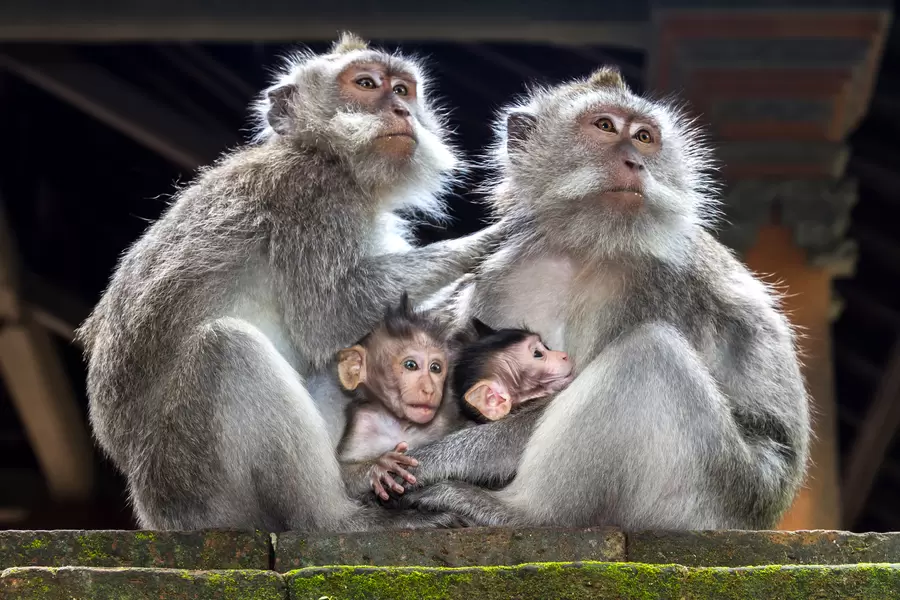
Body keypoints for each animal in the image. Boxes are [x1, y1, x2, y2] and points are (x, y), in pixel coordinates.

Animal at [75, 33, 502, 532]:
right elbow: (329, 315)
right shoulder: (313, 200)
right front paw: (492, 240)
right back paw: (340, 519)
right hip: (197, 481)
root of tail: (152, 509)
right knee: (228, 349)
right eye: (366, 84)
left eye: (402, 90)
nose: (401, 110)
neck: (325, 155)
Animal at [388, 66, 811, 531]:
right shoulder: (503, 277)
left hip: (711, 494)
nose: (635, 162)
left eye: (644, 137)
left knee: (650, 353)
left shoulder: (653, 283)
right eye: (605, 126)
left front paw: (429, 461)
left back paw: (517, 512)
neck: (586, 249)